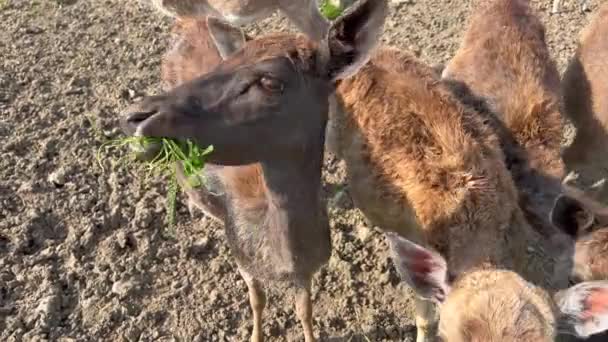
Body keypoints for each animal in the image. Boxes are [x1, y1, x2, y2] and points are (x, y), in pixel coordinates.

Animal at [117, 0, 388, 340]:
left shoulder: (309, 269)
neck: (281, 259)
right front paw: (254, 334)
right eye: (226, 64)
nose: (134, 116)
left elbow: (305, 310)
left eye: (270, 82)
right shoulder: (241, 256)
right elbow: (256, 300)